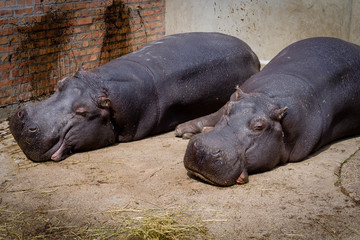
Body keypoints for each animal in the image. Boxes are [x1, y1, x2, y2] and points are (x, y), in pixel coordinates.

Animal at [176, 37, 360, 186]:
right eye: (229, 109)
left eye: (259, 127)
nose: (204, 149)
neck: (266, 99)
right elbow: (215, 113)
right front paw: (183, 130)